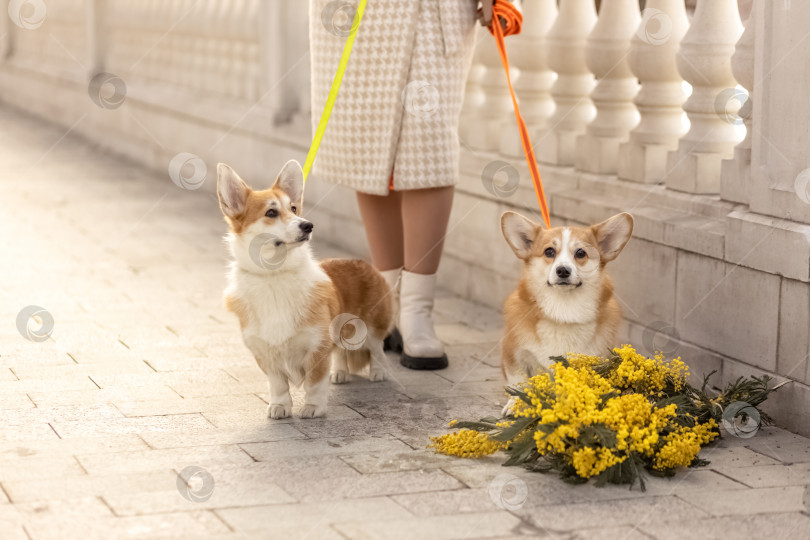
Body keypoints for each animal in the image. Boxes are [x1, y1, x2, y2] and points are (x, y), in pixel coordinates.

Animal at [215, 158, 392, 420]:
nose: (308, 226)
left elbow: (314, 383)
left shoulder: (317, 346)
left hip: (368, 327)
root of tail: (360, 261)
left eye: (294, 208)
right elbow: (278, 384)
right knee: (341, 352)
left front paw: (313, 408)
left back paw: (379, 372)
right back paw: (340, 373)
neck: (275, 275)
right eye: (271, 212)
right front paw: (279, 407)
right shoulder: (265, 352)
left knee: (377, 348)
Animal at [498, 211, 632, 388]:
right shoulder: (514, 359)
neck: (564, 310)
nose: (562, 270)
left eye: (581, 253)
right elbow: (519, 387)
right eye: (549, 251)